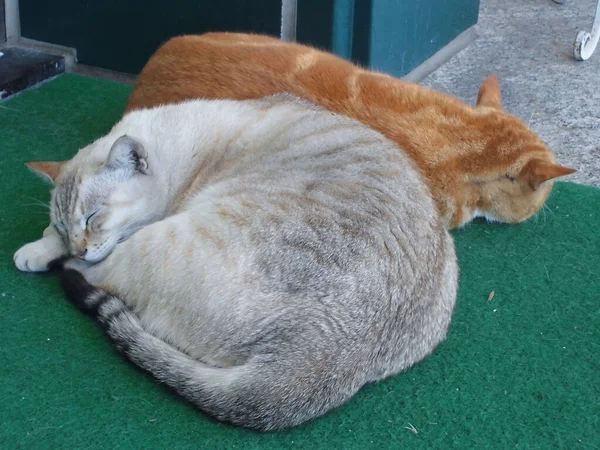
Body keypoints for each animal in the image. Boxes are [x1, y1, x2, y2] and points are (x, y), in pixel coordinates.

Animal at [14, 96, 458, 430]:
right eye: (66, 224)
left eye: (93, 217)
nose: (79, 247)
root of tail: (326, 351)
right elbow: (50, 238)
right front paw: (42, 246)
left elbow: (89, 260)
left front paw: (44, 255)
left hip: (161, 240)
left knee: (97, 279)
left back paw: (70, 269)